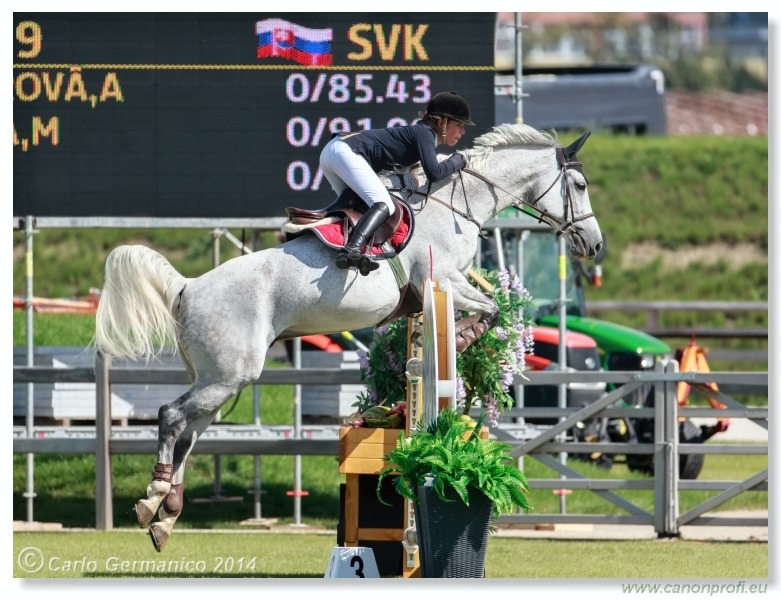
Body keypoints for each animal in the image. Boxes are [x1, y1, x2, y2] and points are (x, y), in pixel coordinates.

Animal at [93, 123, 604, 552]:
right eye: (580, 186)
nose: (595, 246)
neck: (457, 205)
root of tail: (188, 286)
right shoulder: (442, 280)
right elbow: (492, 308)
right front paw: (463, 338)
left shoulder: (448, 284)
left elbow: (491, 304)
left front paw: (464, 339)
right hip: (228, 376)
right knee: (171, 415)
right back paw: (152, 498)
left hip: (219, 379)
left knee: (188, 431)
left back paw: (165, 517)